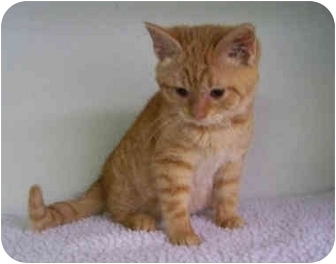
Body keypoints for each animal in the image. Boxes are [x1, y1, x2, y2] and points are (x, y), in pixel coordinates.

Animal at [28, 21, 260, 245]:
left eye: (217, 93)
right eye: (181, 91)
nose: (197, 114)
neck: (212, 131)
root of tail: (102, 180)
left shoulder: (232, 163)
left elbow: (227, 194)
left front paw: (228, 217)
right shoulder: (171, 164)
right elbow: (176, 204)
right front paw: (182, 232)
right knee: (114, 212)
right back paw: (139, 219)